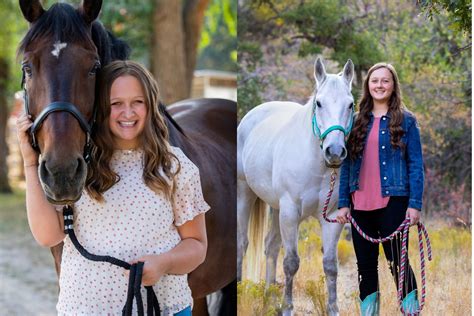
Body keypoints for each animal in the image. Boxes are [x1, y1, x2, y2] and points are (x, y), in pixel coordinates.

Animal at [239, 58, 354, 314]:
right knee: (241, 243)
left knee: (270, 246)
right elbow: (291, 262)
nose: (334, 152)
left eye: (351, 104)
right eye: (319, 103)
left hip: (275, 208)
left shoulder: (332, 216)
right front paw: (287, 308)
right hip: (246, 195)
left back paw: (269, 297)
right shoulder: (291, 211)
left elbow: (330, 265)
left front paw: (333, 309)